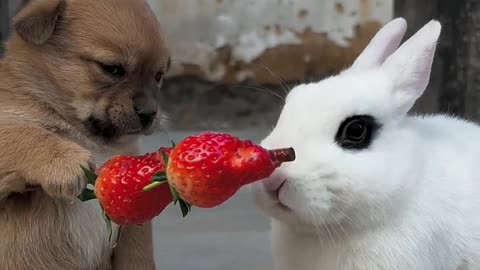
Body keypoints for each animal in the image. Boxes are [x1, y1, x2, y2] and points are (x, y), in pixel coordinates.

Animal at [0, 0, 171, 270]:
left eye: (158, 76)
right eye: (112, 69)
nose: (149, 114)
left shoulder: (133, 222)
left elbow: (137, 254)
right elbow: (25, 134)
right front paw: (64, 161)